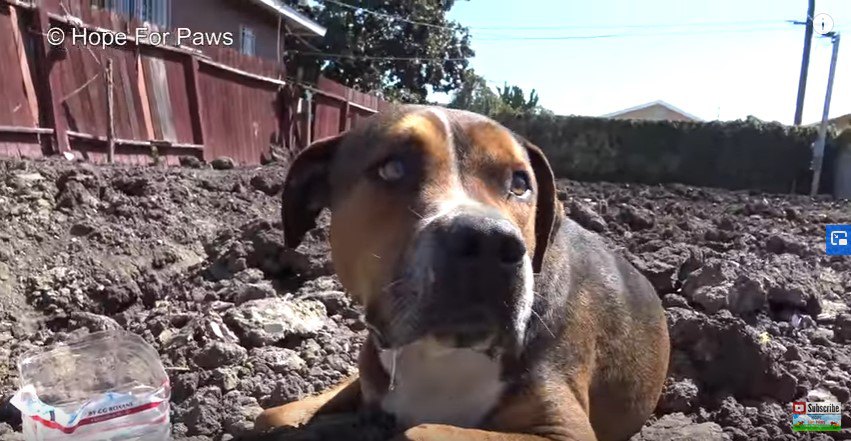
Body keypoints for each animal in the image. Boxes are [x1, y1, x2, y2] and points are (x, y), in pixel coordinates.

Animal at [256, 105, 668, 438]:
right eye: (393, 168)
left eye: (520, 183)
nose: (488, 242)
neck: (439, 354)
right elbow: (269, 415)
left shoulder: (563, 429)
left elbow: (420, 432)